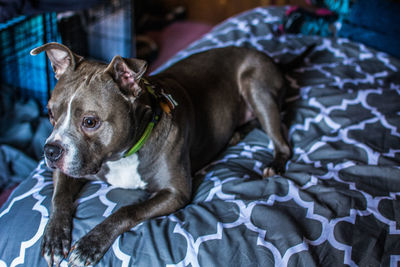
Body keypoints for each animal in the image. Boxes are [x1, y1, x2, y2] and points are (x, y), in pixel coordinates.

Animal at [31, 43, 292, 266]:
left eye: (90, 121)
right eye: (50, 113)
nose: (50, 150)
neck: (121, 156)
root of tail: (261, 53)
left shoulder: (175, 193)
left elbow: (128, 210)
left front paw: (90, 244)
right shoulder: (72, 169)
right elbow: (59, 197)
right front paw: (54, 237)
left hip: (256, 88)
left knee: (281, 141)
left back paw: (275, 163)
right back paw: (236, 135)